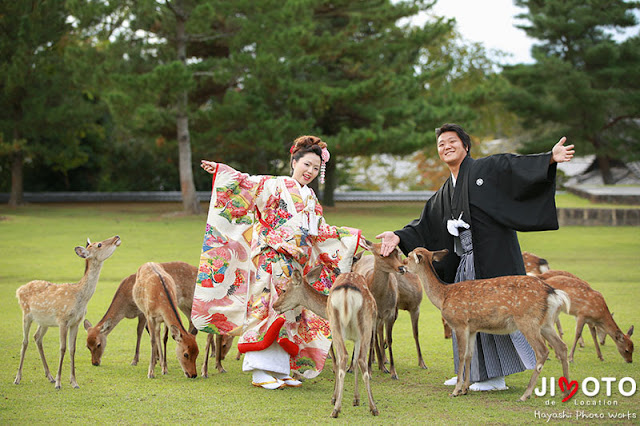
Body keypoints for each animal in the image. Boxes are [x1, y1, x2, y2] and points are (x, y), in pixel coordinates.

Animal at [13, 236, 121, 390]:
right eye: (99, 244)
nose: (116, 237)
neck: (81, 298)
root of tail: (19, 289)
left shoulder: (76, 322)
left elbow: (72, 349)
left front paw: (74, 382)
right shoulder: (62, 320)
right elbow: (62, 348)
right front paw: (59, 383)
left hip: (44, 322)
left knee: (37, 337)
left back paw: (49, 376)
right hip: (26, 314)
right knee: (25, 341)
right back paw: (18, 378)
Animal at [404, 248, 568, 402]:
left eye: (408, 256)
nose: (401, 267)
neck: (443, 296)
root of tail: (552, 293)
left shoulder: (460, 323)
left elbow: (461, 354)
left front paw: (456, 391)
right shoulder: (472, 328)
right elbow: (470, 354)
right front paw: (465, 389)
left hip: (528, 321)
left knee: (542, 351)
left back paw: (525, 395)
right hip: (546, 323)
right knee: (562, 346)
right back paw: (566, 392)